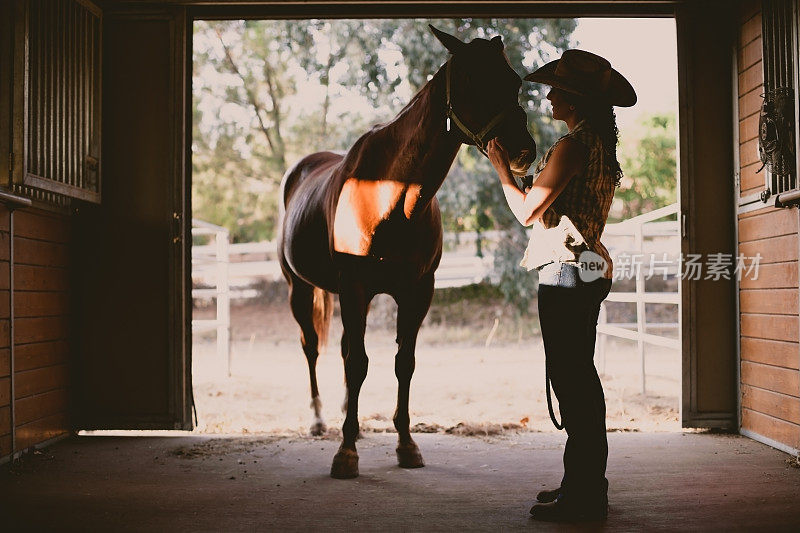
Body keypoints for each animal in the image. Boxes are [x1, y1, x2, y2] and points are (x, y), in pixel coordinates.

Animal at [278, 26, 536, 478]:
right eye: (470, 79)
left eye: (514, 81)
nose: (523, 152)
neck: (391, 197)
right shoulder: (355, 286)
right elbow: (358, 363)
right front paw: (345, 453)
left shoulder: (417, 292)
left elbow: (403, 363)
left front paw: (405, 444)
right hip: (301, 289)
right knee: (312, 348)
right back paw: (320, 419)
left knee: (344, 349)